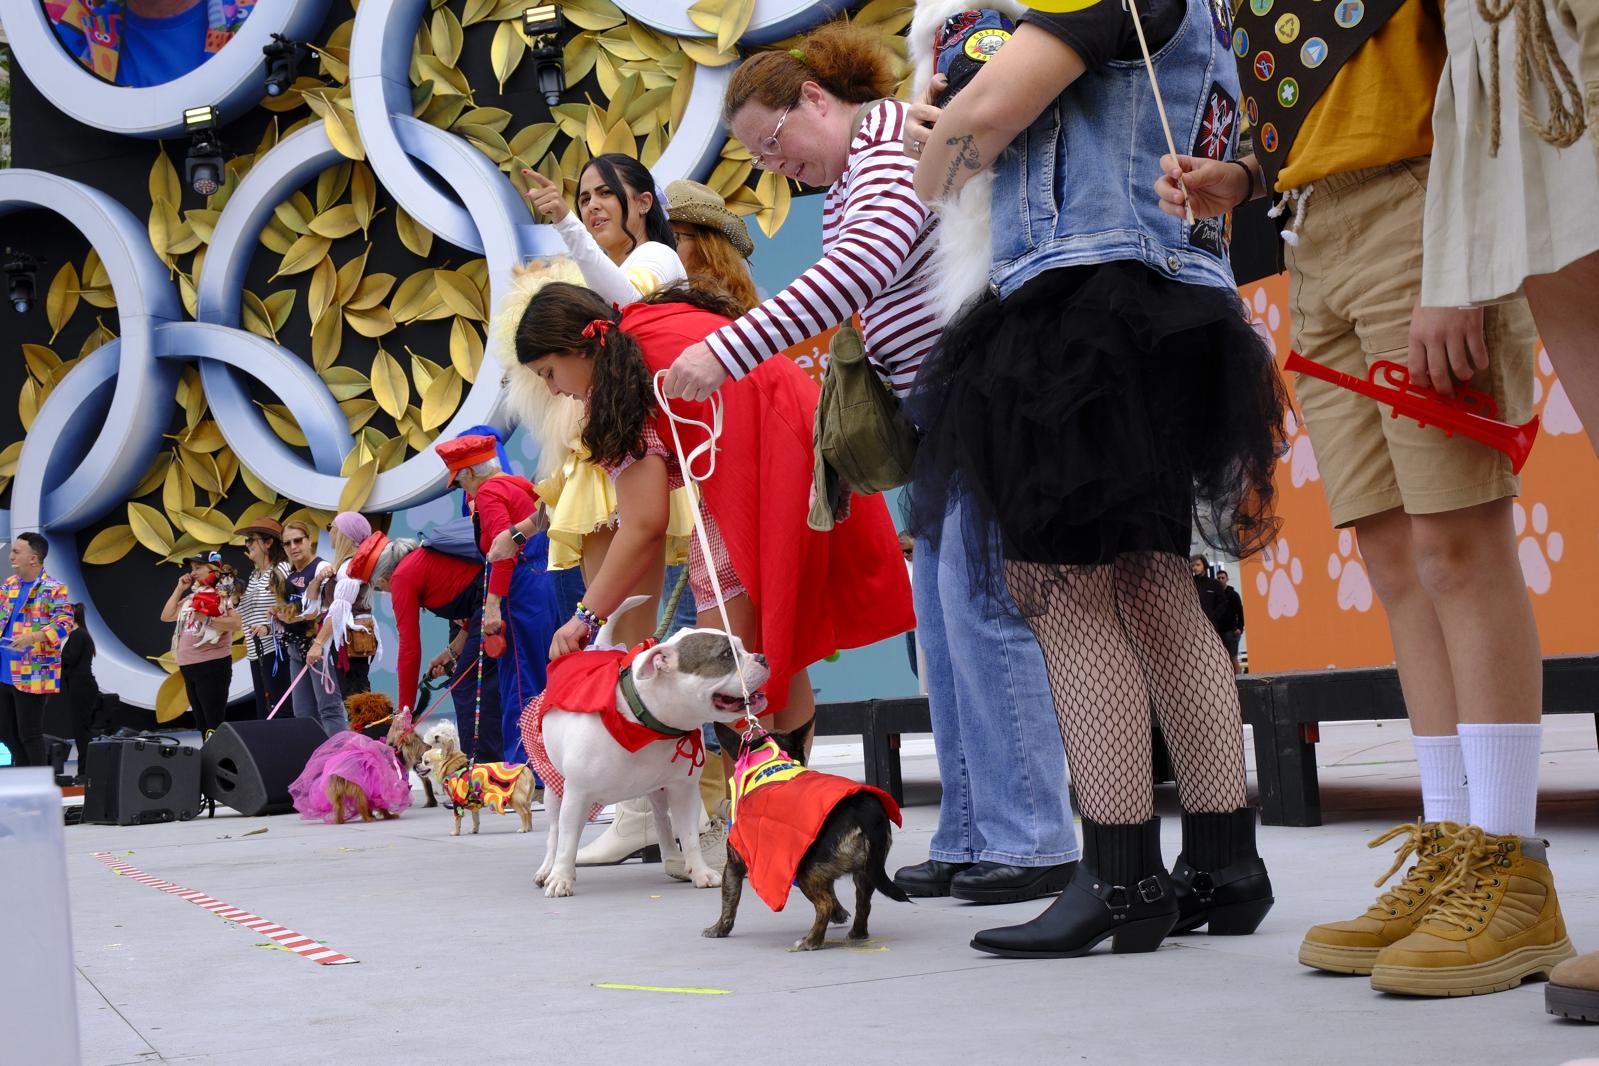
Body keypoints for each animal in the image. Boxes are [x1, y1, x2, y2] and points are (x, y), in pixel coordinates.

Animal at [530, 600, 767, 901]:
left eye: (742, 647)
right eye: (726, 654)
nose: (762, 657)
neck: (644, 723)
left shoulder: (683, 790)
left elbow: (689, 835)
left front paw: (700, 871)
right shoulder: (577, 794)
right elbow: (567, 838)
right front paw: (560, 877)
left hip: (657, 788)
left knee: (662, 821)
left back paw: (675, 859)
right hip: (554, 786)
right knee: (554, 831)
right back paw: (548, 870)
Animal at [703, 722, 914, 952]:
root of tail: (863, 810)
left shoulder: (734, 863)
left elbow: (729, 899)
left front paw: (718, 928)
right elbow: (832, 892)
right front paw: (839, 913)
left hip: (807, 871)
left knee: (824, 904)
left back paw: (810, 941)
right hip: (864, 870)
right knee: (863, 901)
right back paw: (857, 933)